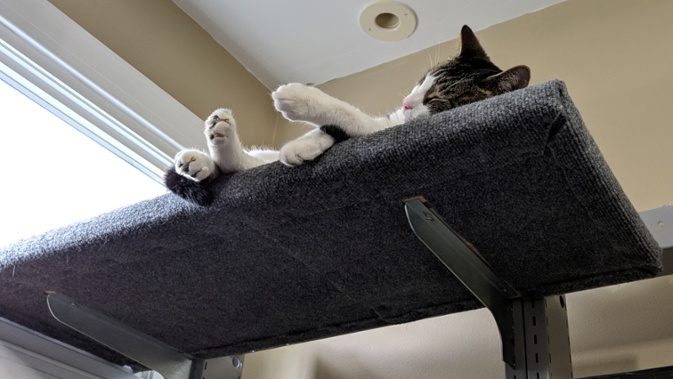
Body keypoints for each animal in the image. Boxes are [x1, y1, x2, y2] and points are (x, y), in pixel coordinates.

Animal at [165, 24, 528, 205]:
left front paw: (301, 101)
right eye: (423, 79)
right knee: (242, 164)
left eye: (436, 97)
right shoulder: (391, 120)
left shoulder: (382, 128)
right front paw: (305, 143)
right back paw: (207, 150)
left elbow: (348, 115)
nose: (407, 102)